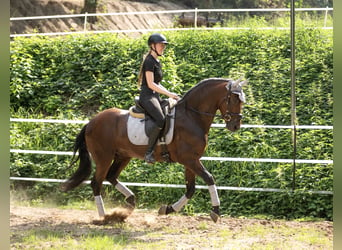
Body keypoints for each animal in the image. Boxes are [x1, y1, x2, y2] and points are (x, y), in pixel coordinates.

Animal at [61, 77, 247, 223]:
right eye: (233, 99)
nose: (235, 126)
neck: (192, 116)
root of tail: (91, 122)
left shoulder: (191, 161)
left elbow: (190, 189)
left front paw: (168, 209)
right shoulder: (190, 160)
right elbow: (209, 178)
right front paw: (215, 211)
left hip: (123, 156)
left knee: (111, 176)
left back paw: (129, 202)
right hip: (103, 158)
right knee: (97, 182)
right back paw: (104, 216)